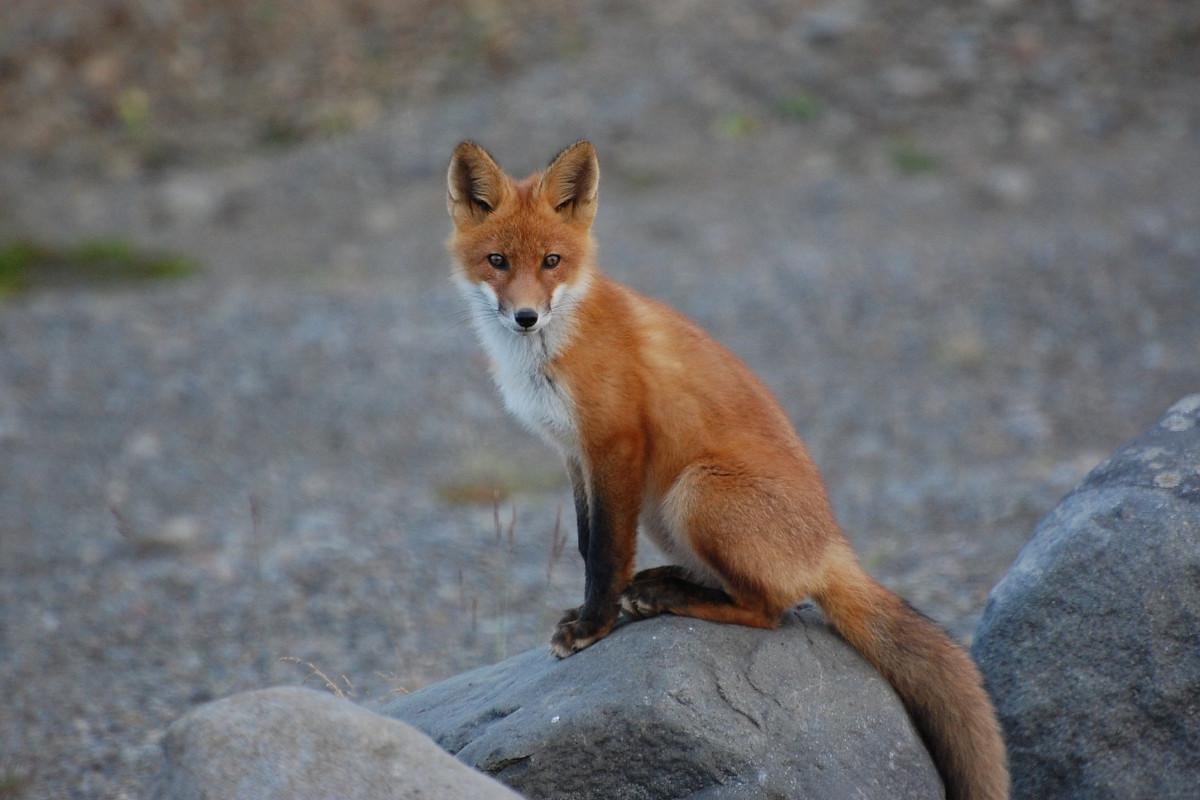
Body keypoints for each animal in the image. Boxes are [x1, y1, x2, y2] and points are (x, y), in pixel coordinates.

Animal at [446, 140, 1008, 796]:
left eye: (552, 261)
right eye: (498, 261)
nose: (526, 317)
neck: (552, 351)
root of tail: (833, 545)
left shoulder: (615, 443)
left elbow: (606, 552)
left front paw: (592, 626)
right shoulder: (574, 453)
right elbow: (587, 544)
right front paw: (592, 613)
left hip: (695, 493)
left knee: (771, 610)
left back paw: (670, 598)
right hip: (665, 511)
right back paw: (662, 585)